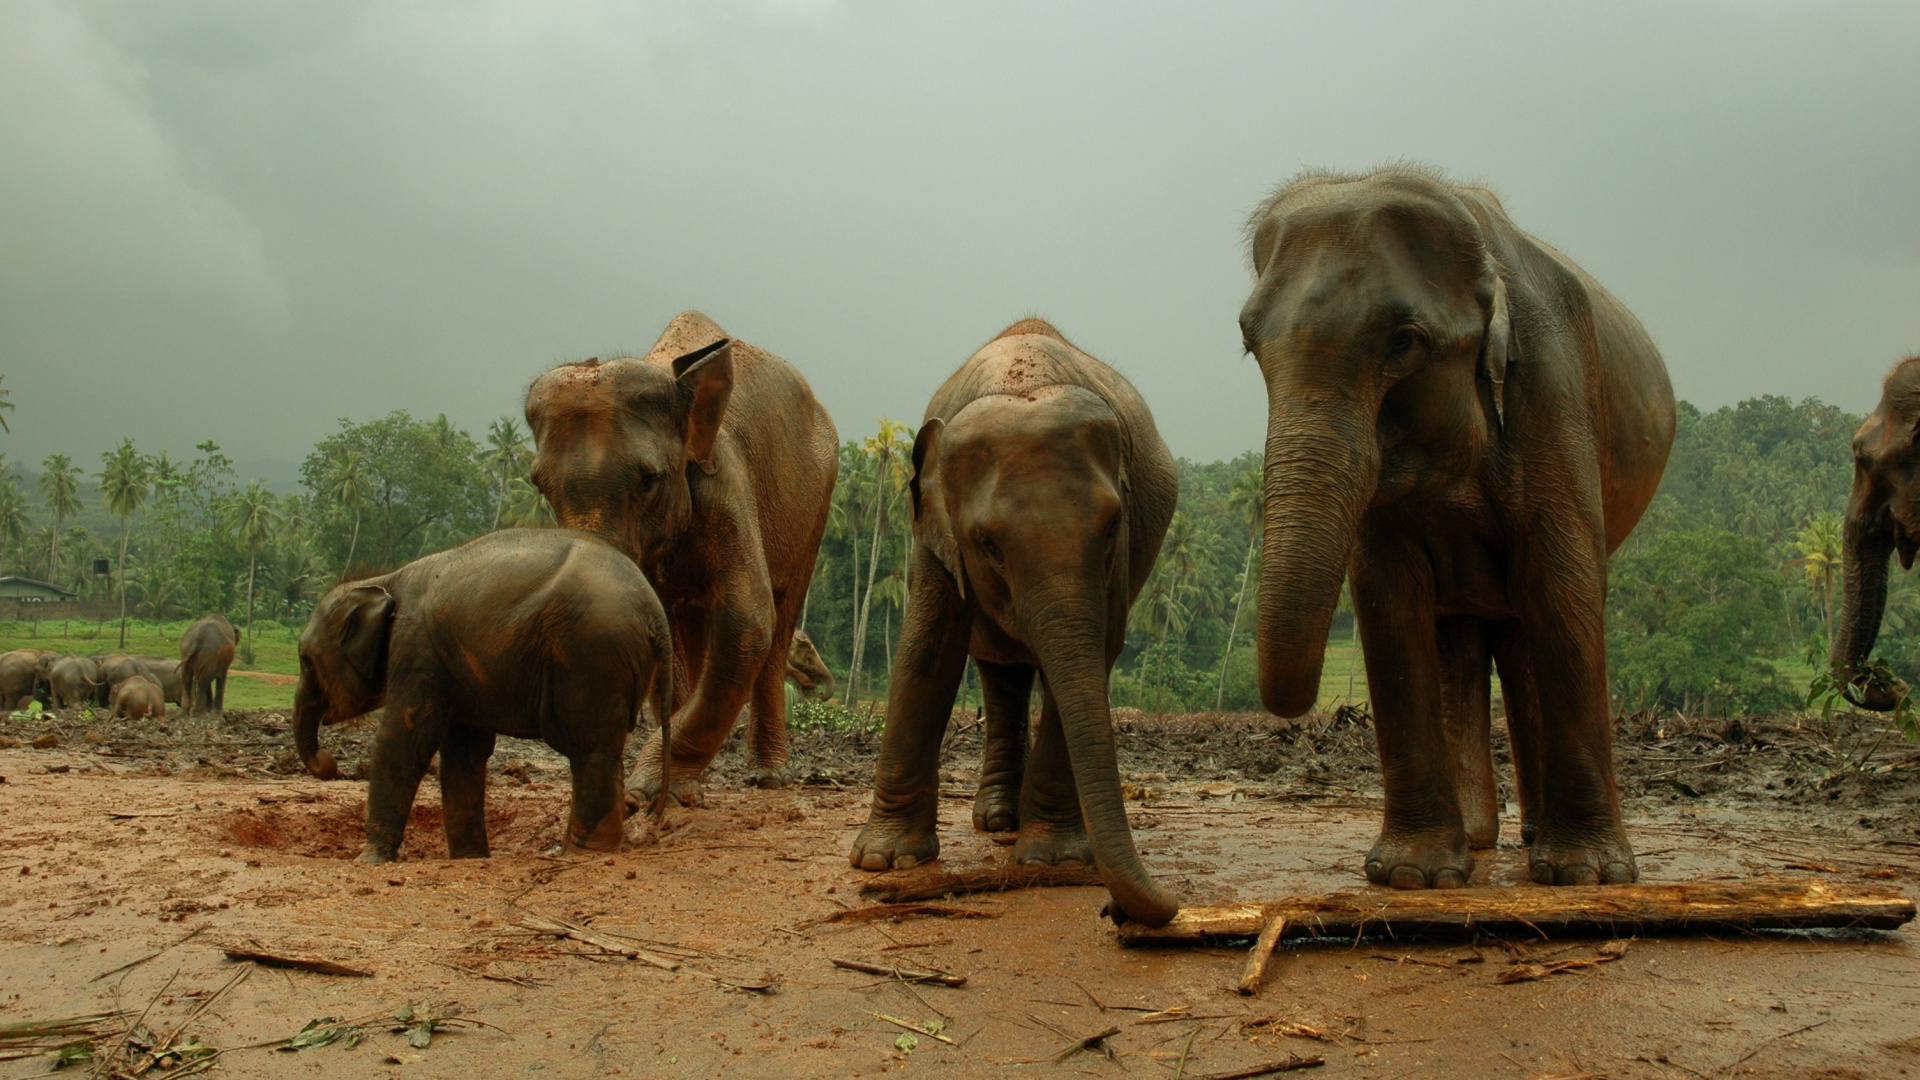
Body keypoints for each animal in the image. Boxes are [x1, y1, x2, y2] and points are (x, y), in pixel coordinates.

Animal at [293, 528, 674, 863]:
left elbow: (402, 741)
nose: (328, 763)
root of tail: (654, 611)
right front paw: (469, 858)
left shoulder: (416, 650)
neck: (385, 580)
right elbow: (464, 753)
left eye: (305, 660)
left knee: (589, 748)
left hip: (590, 652)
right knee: (599, 747)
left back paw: (582, 854)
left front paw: (367, 860)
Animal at [526, 310, 839, 805]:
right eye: (539, 485)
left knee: (780, 618)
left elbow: (748, 621)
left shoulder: (724, 484)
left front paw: (650, 794)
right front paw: (669, 790)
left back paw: (769, 777)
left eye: (648, 480)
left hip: (816, 504)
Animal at [848, 318, 1181, 927]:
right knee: (1000, 673)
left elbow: (1098, 651)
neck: (1023, 379)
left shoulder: (1120, 557)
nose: (1123, 911)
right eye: (989, 545)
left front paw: (1054, 860)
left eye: (1112, 525)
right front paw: (887, 861)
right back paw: (998, 822)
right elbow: (926, 652)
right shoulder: (934, 530)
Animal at [1240, 166, 1674, 890]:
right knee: (1466, 640)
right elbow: (1388, 599)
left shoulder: (1554, 394)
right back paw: (1476, 838)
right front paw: (1411, 875)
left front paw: (1588, 874)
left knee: (1528, 623)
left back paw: (1534, 840)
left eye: (1404, 342)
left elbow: (1564, 587)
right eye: (1249, 342)